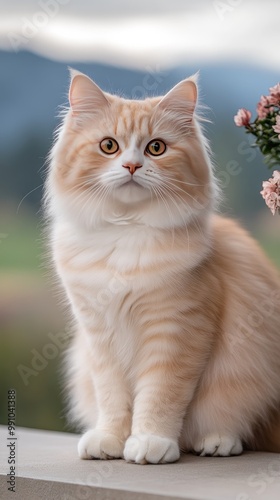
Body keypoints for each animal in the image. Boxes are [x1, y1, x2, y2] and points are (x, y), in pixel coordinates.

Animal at [44, 70, 280, 464]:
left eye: (156, 148)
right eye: (109, 146)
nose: (132, 166)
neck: (125, 233)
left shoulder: (177, 328)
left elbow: (160, 395)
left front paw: (150, 442)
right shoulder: (98, 335)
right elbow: (112, 397)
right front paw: (110, 440)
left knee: (237, 424)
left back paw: (216, 442)